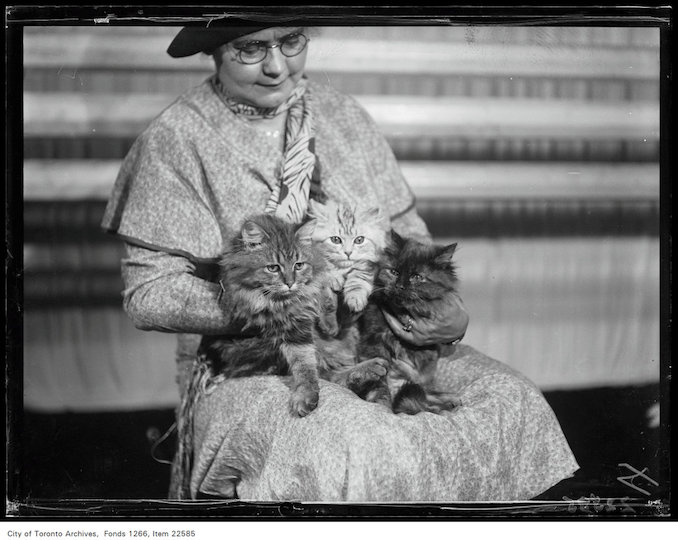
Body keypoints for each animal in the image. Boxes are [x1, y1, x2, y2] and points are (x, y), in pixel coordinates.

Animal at [354, 230, 464, 416]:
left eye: (416, 277)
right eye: (394, 272)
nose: (400, 286)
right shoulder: (374, 342)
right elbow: (380, 381)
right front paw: (383, 403)